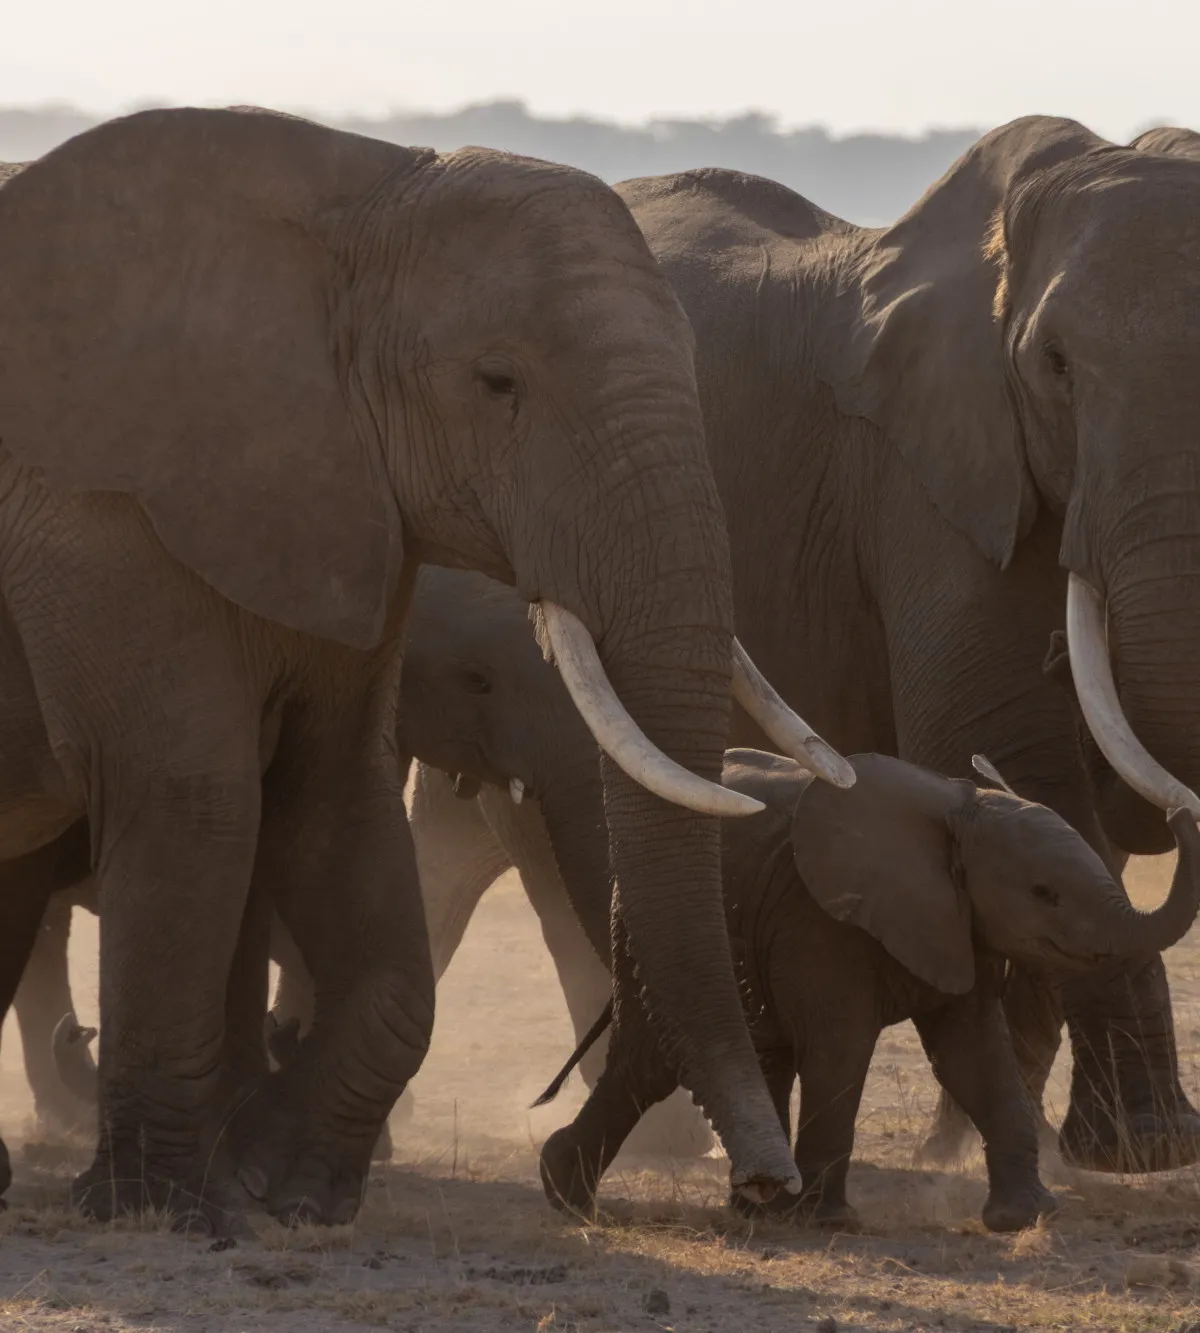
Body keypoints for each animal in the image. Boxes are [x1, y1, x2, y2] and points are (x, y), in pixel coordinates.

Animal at [0, 106, 851, 1227]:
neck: (359, 194)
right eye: (498, 382)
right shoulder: (102, 516)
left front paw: (285, 1184)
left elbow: (339, 798)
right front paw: (160, 1208)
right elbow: (197, 796)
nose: (760, 1182)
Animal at [536, 750, 1200, 1231]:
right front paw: (831, 1223)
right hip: (644, 934)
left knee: (756, 1057)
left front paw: (1027, 1217)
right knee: (650, 1062)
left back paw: (751, 1207)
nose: (1178, 809)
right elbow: (841, 1050)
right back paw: (568, 1192)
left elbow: (974, 1055)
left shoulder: (960, 925)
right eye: (1044, 893)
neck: (958, 810)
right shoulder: (819, 922)